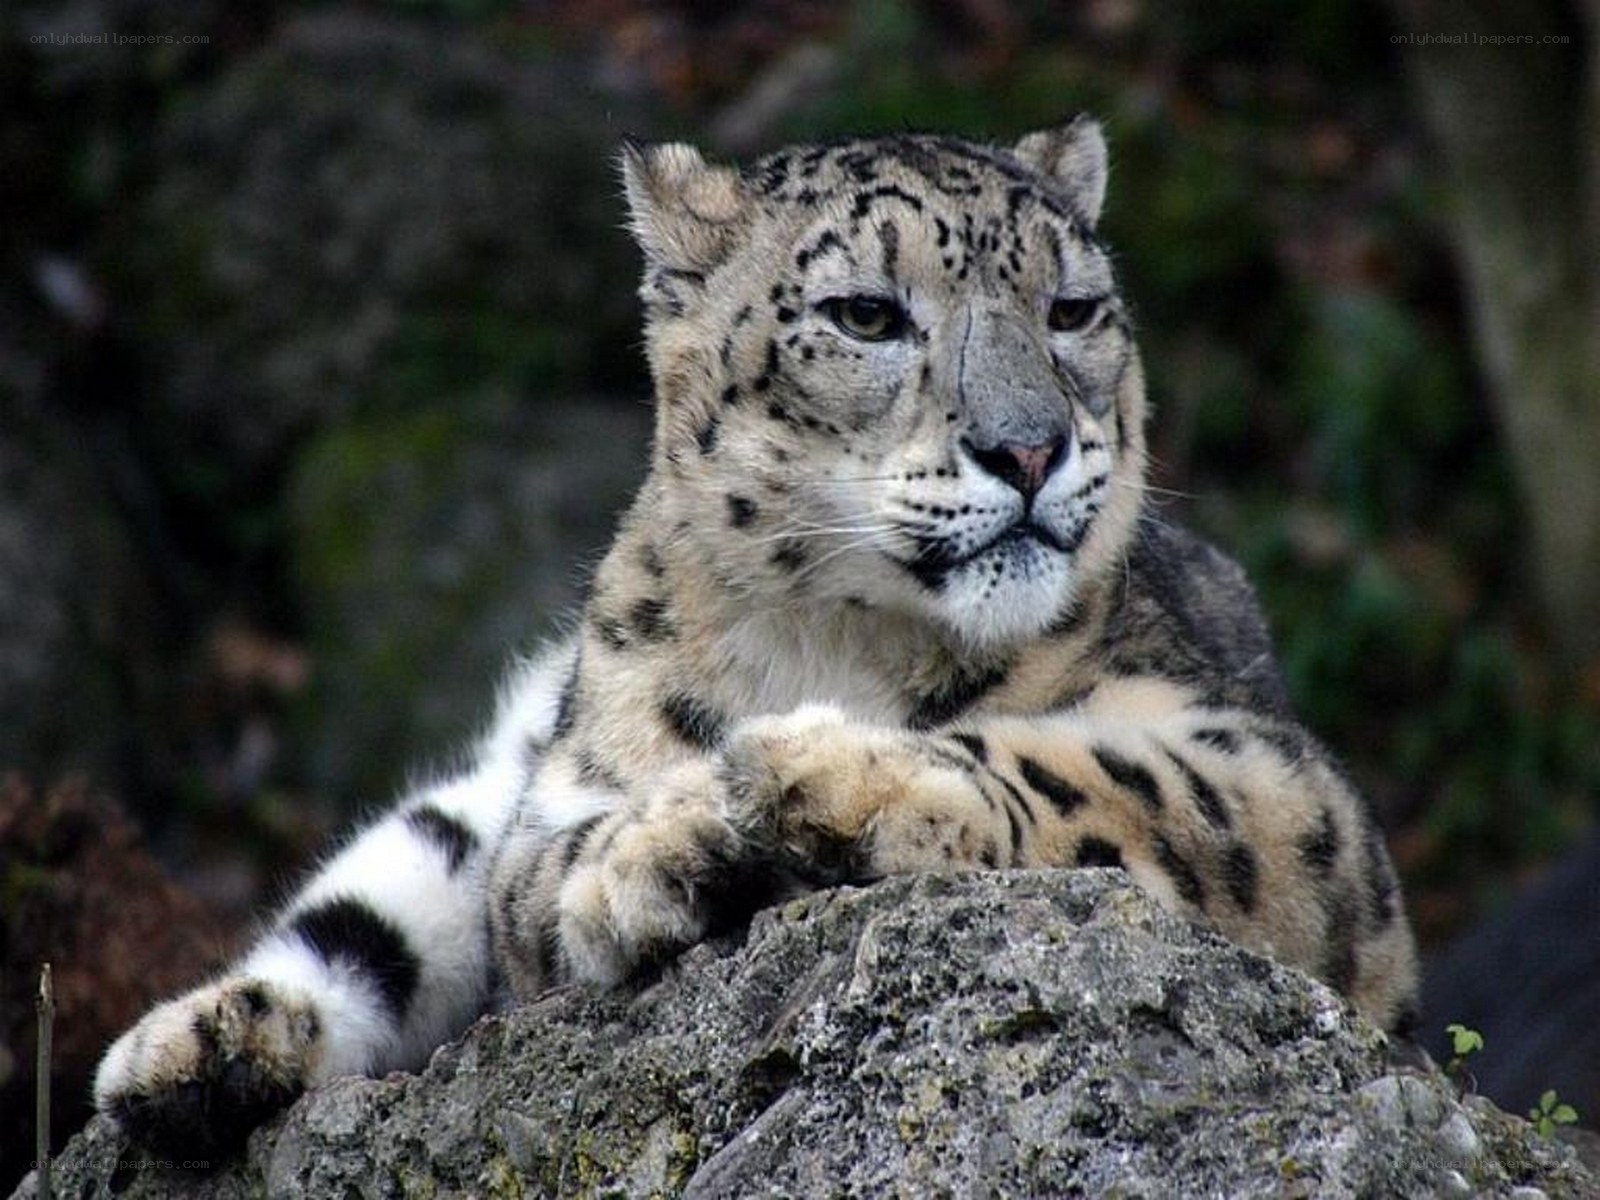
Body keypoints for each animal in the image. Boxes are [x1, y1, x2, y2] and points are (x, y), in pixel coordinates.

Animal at [94, 117, 1420, 1156]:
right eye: (866, 314)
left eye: (1073, 309)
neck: (839, 638)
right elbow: (538, 881)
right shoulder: (561, 794)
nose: (1030, 447)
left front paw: (826, 777)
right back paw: (189, 1056)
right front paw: (668, 844)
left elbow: (1118, 778)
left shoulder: (1288, 787)